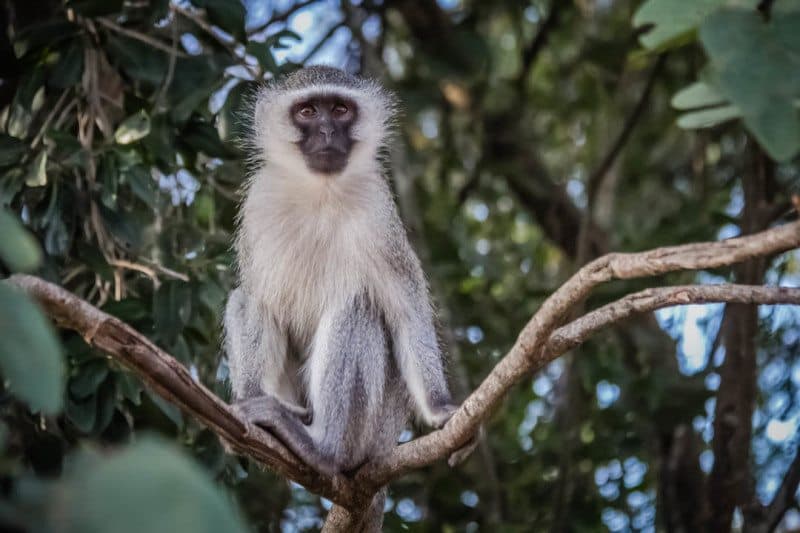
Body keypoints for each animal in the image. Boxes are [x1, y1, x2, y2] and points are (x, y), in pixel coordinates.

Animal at [223, 66, 473, 525]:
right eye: (307, 111)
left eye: (340, 109)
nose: (325, 131)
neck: (320, 193)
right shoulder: (258, 206)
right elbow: (257, 301)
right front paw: (246, 403)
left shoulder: (380, 215)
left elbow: (406, 312)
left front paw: (440, 408)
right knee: (243, 299)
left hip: (375, 432)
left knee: (358, 309)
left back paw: (324, 449)